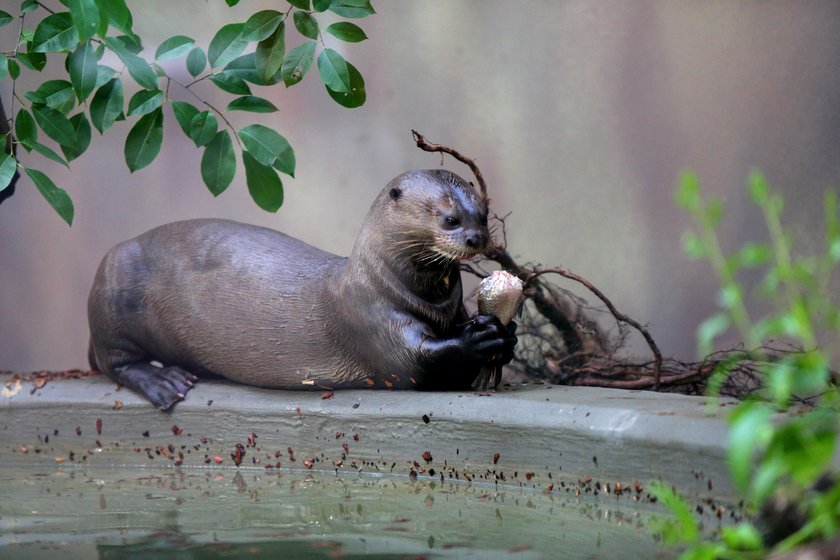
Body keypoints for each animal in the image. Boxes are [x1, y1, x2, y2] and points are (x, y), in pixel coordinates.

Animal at [88, 168, 516, 410]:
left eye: (483, 215)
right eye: (450, 219)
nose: (477, 238)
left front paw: (505, 334)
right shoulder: (370, 320)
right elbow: (417, 362)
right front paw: (478, 338)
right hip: (113, 288)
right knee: (113, 361)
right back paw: (164, 382)